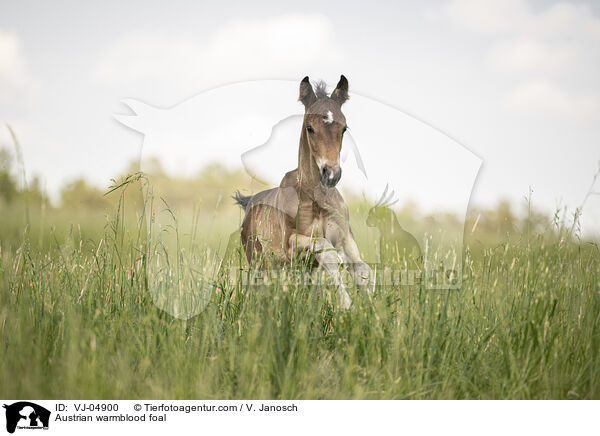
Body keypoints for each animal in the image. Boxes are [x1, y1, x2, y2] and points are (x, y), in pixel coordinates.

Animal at [233, 75, 370, 308]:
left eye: (344, 128)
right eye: (309, 127)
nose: (331, 174)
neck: (316, 201)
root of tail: (249, 202)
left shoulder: (345, 236)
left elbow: (361, 268)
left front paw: (373, 308)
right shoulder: (291, 245)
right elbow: (328, 253)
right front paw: (346, 304)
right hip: (260, 262)